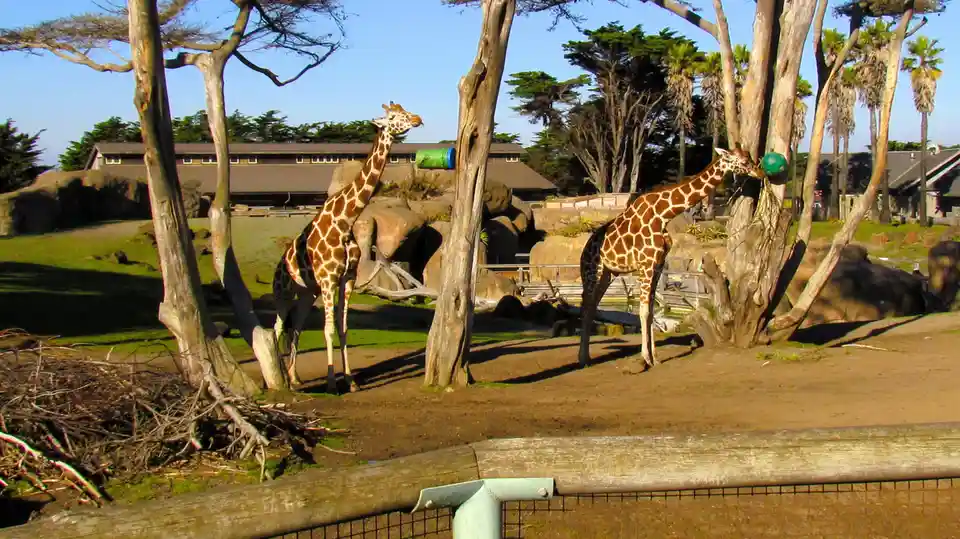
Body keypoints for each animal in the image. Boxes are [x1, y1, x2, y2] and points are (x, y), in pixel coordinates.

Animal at [272, 102, 423, 394]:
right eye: (392, 116)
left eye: (406, 110)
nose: (417, 119)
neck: (345, 221)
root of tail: (278, 265)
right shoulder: (329, 279)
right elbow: (328, 329)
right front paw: (333, 383)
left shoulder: (347, 278)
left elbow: (343, 329)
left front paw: (351, 381)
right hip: (283, 292)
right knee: (276, 328)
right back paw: (278, 380)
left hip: (307, 293)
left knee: (295, 327)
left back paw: (294, 379)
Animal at [577, 147, 767, 370]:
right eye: (743, 162)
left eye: (749, 157)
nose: (760, 173)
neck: (663, 214)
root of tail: (585, 250)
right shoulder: (646, 264)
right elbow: (643, 311)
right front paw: (644, 358)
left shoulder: (658, 264)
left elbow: (652, 311)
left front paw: (655, 358)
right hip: (592, 272)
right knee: (586, 305)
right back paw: (582, 358)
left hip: (608, 273)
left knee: (592, 305)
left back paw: (587, 357)